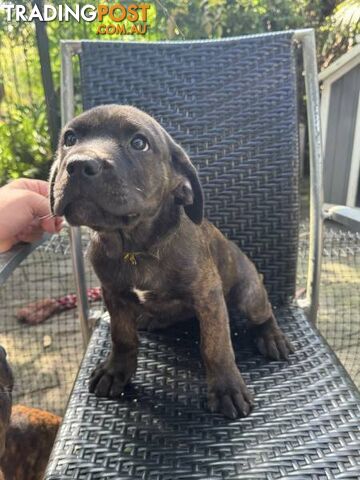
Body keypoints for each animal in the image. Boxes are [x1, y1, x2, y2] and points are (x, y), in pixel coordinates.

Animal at [50, 106, 292, 420]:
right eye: (69, 138)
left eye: (139, 143)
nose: (79, 165)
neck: (135, 246)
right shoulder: (113, 293)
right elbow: (121, 336)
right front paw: (116, 371)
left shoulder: (208, 297)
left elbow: (216, 347)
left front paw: (227, 388)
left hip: (248, 293)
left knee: (264, 313)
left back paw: (272, 336)